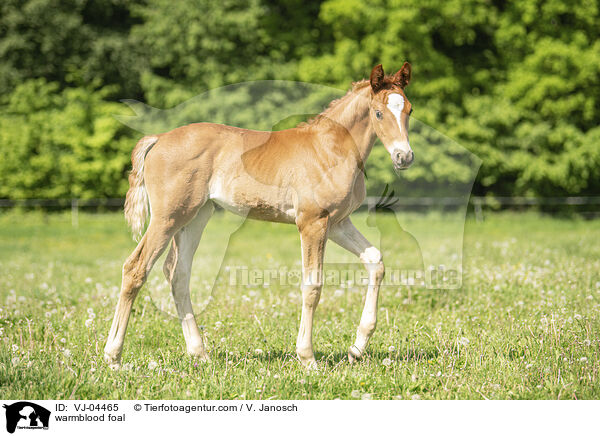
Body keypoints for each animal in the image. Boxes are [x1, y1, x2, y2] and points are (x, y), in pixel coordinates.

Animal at [104, 63, 412, 370]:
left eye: (408, 110)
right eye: (378, 112)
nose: (404, 157)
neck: (329, 149)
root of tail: (157, 139)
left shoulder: (337, 223)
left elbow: (375, 261)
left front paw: (356, 349)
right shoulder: (312, 222)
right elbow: (312, 286)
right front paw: (307, 357)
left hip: (194, 217)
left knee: (177, 274)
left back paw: (199, 353)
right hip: (167, 218)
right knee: (135, 268)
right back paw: (113, 356)